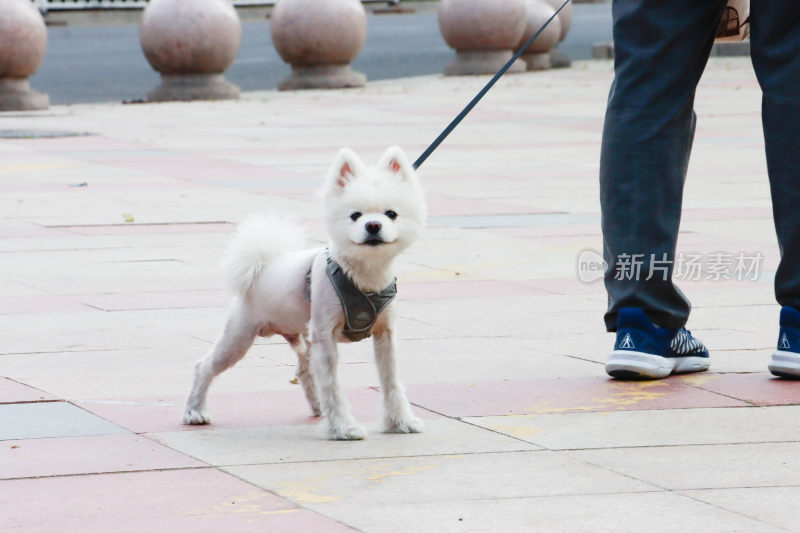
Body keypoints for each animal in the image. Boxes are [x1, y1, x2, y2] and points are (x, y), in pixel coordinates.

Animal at [184, 147, 428, 440]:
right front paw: (343, 428)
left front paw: (400, 421)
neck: (362, 274)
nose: (373, 226)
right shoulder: (325, 336)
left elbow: (391, 382)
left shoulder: (385, 335)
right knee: (204, 366)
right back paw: (194, 411)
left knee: (303, 370)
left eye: (391, 214)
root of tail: (264, 264)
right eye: (355, 216)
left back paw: (318, 406)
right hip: (238, 336)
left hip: (300, 339)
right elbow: (333, 385)